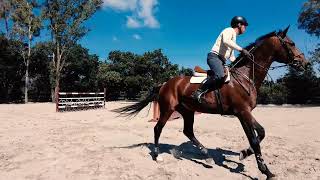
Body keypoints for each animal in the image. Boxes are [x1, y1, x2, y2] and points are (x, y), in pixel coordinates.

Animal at [114, 26, 308, 179]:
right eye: (291, 43)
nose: (304, 62)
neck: (246, 76)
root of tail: (165, 83)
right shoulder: (243, 112)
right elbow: (257, 136)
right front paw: (264, 169)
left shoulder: (242, 114)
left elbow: (256, 137)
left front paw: (245, 156)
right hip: (168, 109)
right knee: (158, 129)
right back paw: (157, 156)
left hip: (188, 111)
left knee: (188, 131)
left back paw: (206, 155)